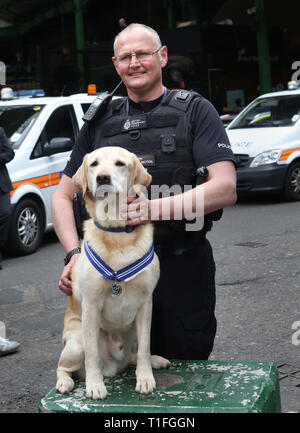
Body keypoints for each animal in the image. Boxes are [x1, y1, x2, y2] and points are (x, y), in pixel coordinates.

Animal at [55, 146, 170, 398]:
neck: (116, 232)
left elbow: (145, 346)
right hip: (75, 342)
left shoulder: (146, 304)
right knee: (63, 366)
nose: (103, 178)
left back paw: (155, 360)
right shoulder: (90, 306)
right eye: (94, 164)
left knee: (134, 355)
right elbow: (91, 355)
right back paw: (66, 382)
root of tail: (114, 364)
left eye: (119, 164)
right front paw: (95, 385)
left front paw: (145, 378)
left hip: (132, 331)